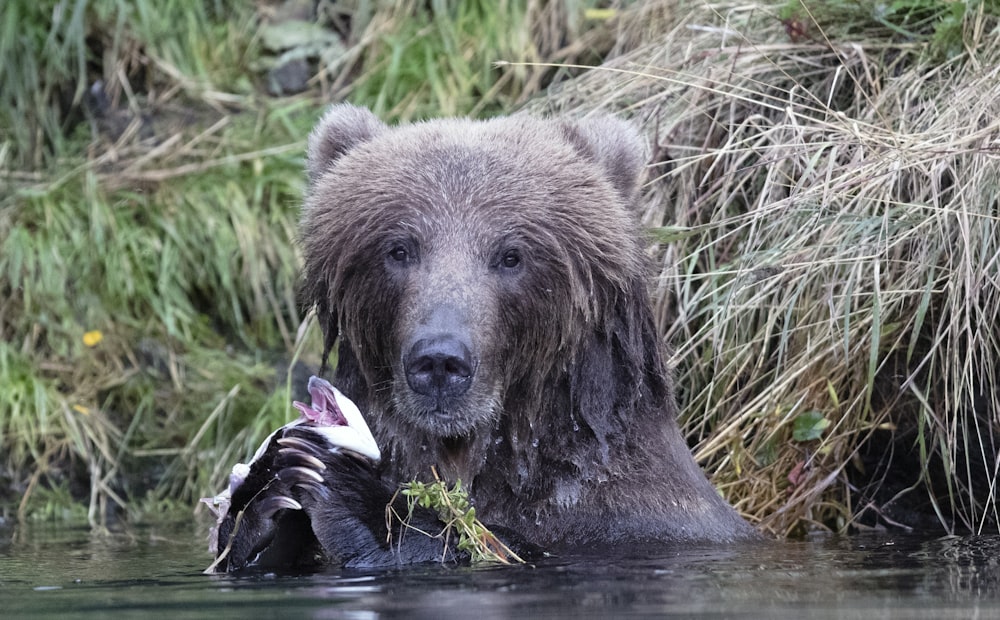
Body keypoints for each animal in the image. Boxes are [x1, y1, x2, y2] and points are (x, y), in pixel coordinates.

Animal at [213, 103, 756, 572]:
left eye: (511, 254)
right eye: (398, 248)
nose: (439, 361)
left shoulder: (633, 517)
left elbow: (492, 542)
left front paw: (347, 491)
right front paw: (262, 500)